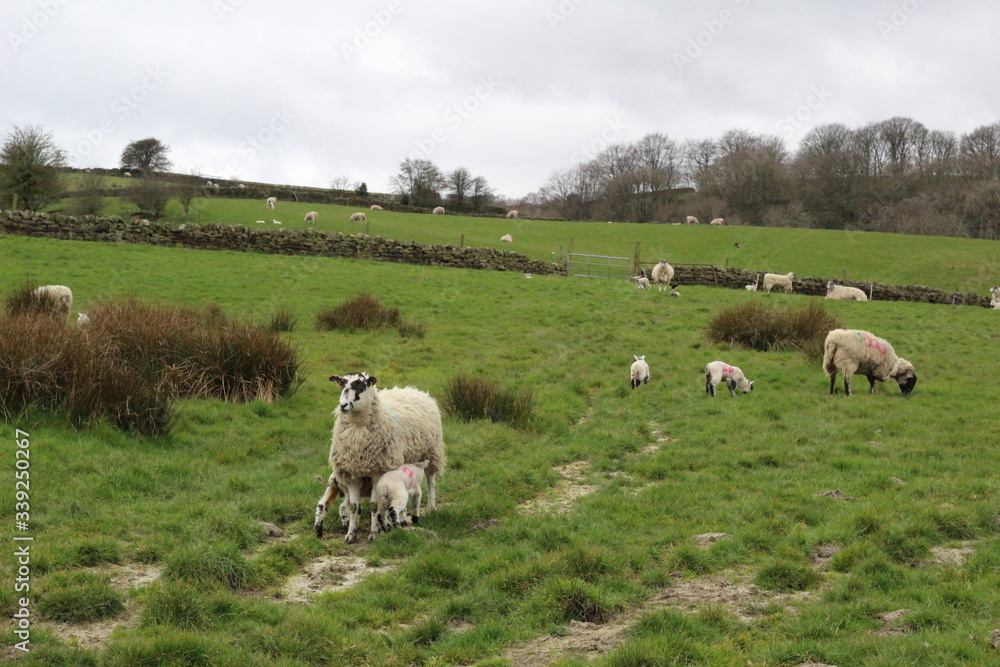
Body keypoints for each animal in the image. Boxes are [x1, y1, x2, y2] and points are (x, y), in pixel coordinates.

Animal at [315, 373, 447, 543]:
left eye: (361, 385)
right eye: (342, 384)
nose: (343, 406)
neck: (357, 432)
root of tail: (414, 390)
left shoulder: (377, 473)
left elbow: (373, 506)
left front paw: (373, 533)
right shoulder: (353, 475)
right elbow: (354, 507)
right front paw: (351, 534)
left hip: (432, 452)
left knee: (431, 482)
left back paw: (430, 507)